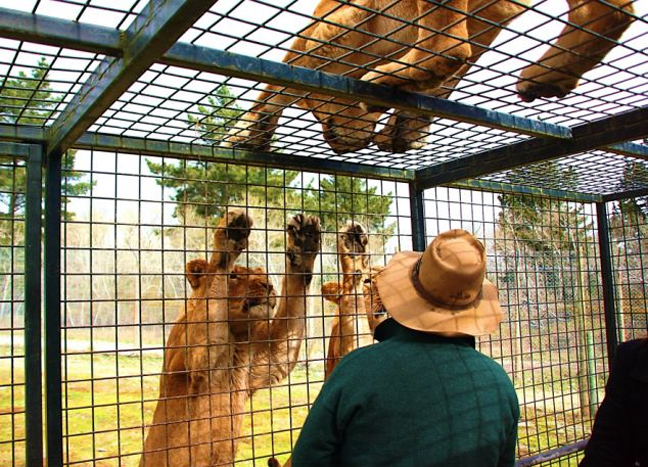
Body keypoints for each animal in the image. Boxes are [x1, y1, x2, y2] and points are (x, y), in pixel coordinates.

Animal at [140, 211, 322, 467]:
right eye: (235, 276)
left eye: (263, 276)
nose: (268, 285)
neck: (237, 340)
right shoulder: (196, 357)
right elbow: (214, 284)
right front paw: (230, 236)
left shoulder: (270, 356)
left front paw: (304, 242)